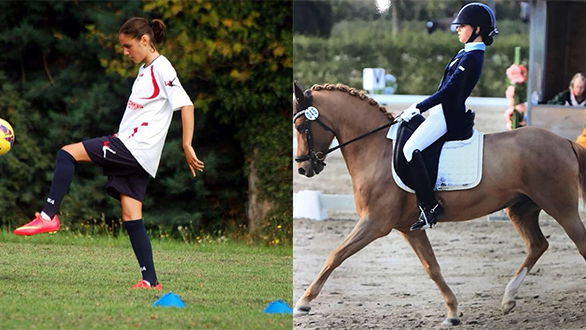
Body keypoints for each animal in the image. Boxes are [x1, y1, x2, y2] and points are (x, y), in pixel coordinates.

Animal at [292, 82, 584, 324]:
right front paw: (453, 312)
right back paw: (508, 299)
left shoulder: (375, 223)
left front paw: (303, 303)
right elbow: (432, 267)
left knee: (577, 243)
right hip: (521, 209)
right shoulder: (409, 227)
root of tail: (564, 142)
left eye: (301, 127)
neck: (376, 149)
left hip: (561, 207)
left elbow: (336, 255)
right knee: (538, 245)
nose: (304, 168)